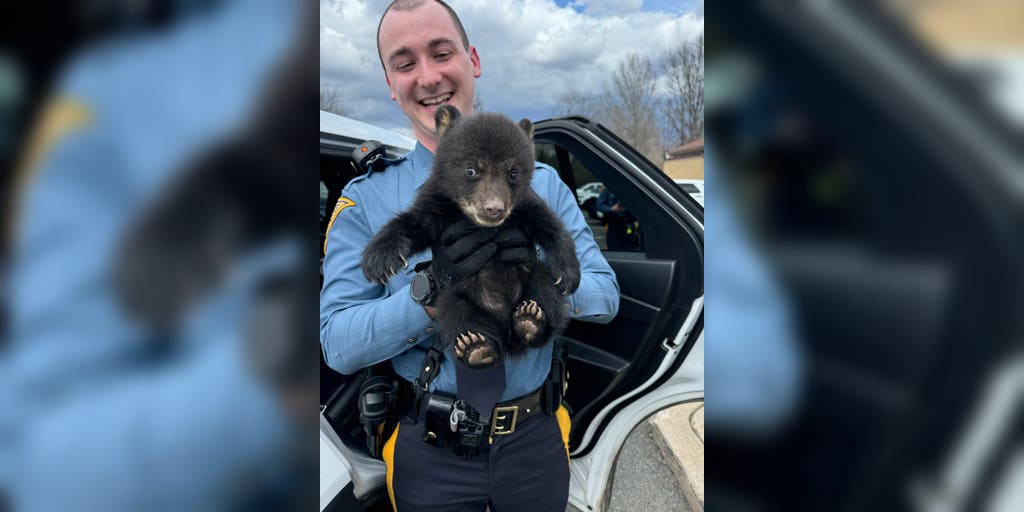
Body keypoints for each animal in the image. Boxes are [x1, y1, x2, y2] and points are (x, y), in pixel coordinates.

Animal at [361, 105, 581, 368]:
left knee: (545, 288)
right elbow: (414, 223)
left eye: (513, 173)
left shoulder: (523, 205)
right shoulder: (438, 204)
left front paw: (568, 274)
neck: (472, 220)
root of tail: (506, 331)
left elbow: (549, 224)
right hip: (455, 296)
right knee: (455, 312)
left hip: (533, 274)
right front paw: (378, 261)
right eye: (471, 169)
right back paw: (476, 346)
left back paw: (531, 320)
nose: (494, 209)